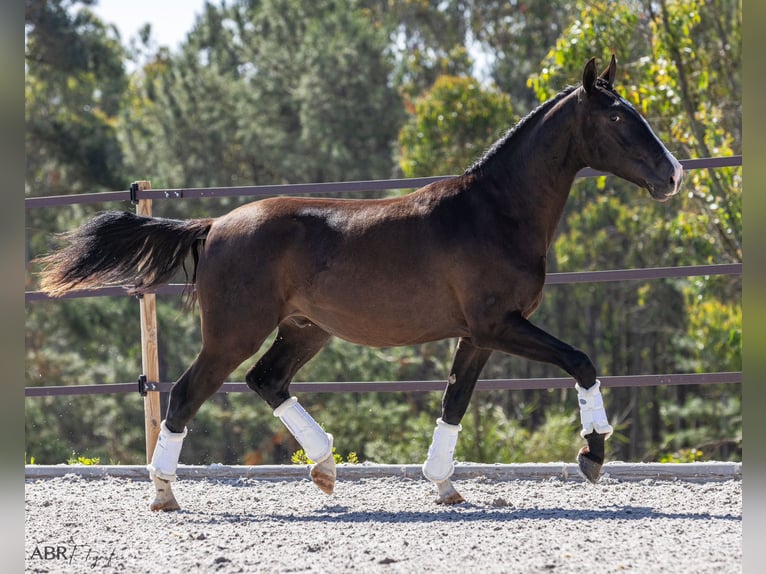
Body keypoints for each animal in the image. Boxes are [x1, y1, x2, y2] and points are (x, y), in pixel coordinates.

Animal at [37, 56, 684, 510]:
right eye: (619, 116)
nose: (673, 175)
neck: (494, 211)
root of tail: (216, 224)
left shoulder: (478, 334)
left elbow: (455, 401)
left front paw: (444, 486)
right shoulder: (500, 324)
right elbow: (581, 362)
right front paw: (592, 454)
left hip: (305, 329)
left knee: (267, 381)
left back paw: (325, 469)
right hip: (234, 333)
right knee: (185, 394)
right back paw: (165, 493)